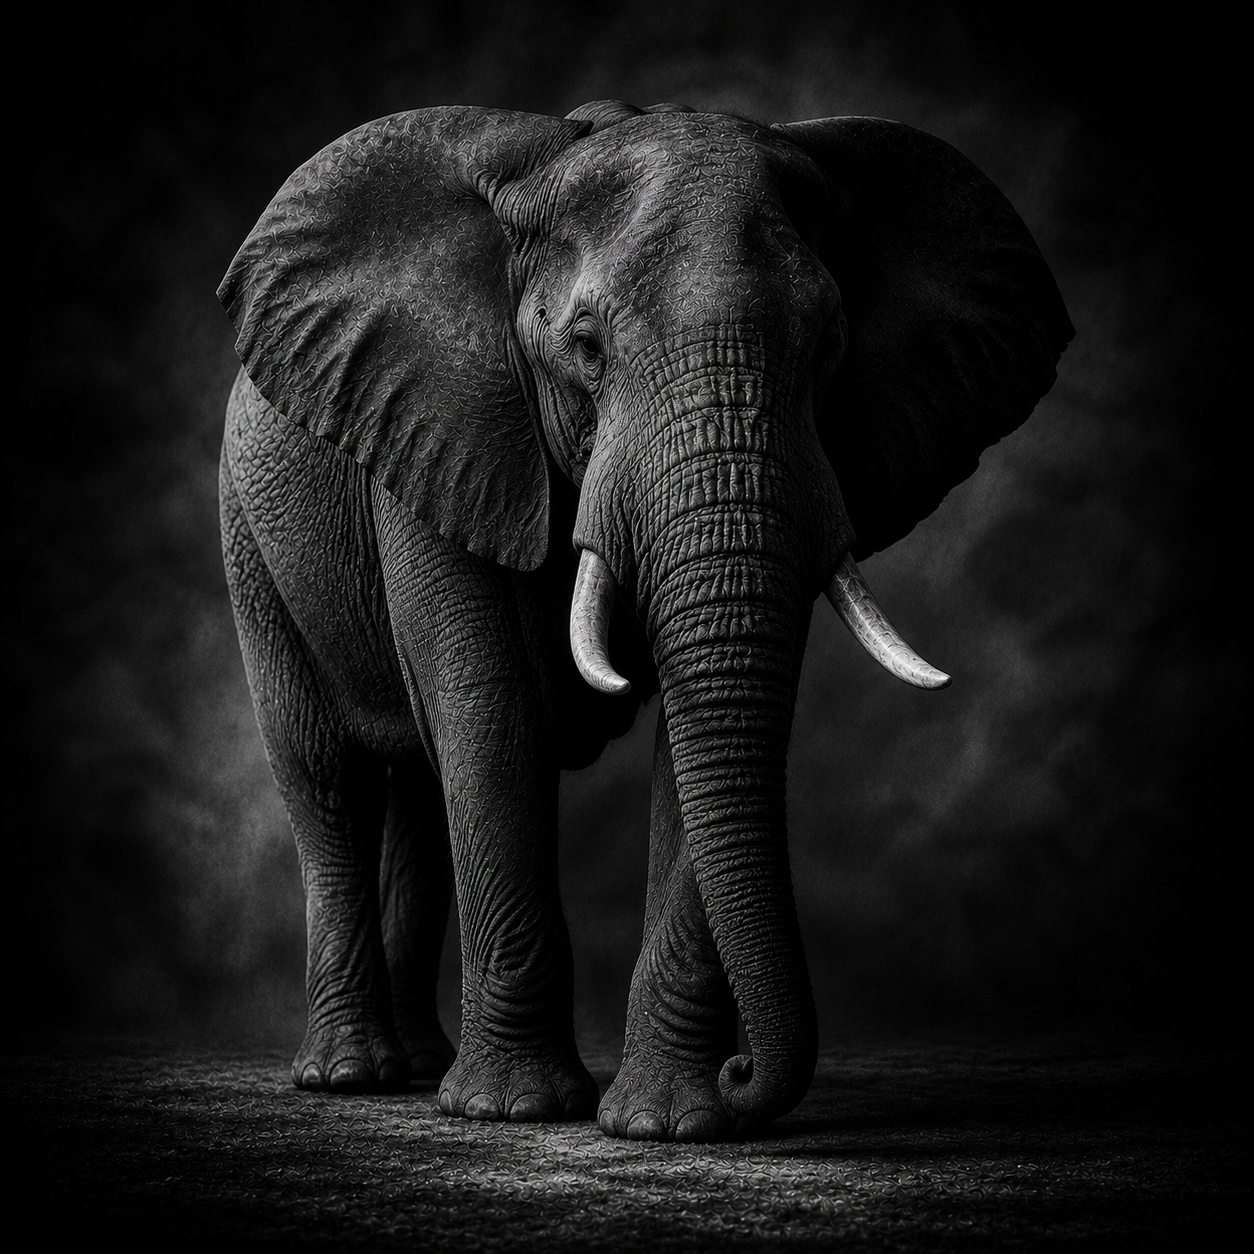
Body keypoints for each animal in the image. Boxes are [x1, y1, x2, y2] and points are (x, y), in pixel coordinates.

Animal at [217, 98, 1072, 1141]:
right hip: (249, 536)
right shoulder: (445, 426)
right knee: (325, 774)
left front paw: (669, 1124)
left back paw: (417, 1068)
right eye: (585, 348)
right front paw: (516, 1112)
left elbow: (696, 729)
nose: (747, 1072)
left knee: (417, 788)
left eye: (831, 349)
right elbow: (489, 711)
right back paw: (353, 1077)